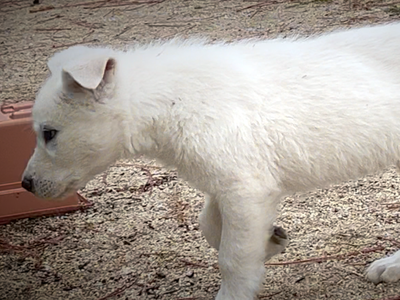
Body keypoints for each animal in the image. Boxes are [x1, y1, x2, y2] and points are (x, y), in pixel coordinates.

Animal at [22, 22, 400, 298]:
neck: (171, 102)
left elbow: (233, 257)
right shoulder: (228, 184)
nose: (25, 184)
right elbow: (209, 226)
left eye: (49, 134)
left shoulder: (244, 188)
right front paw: (271, 241)